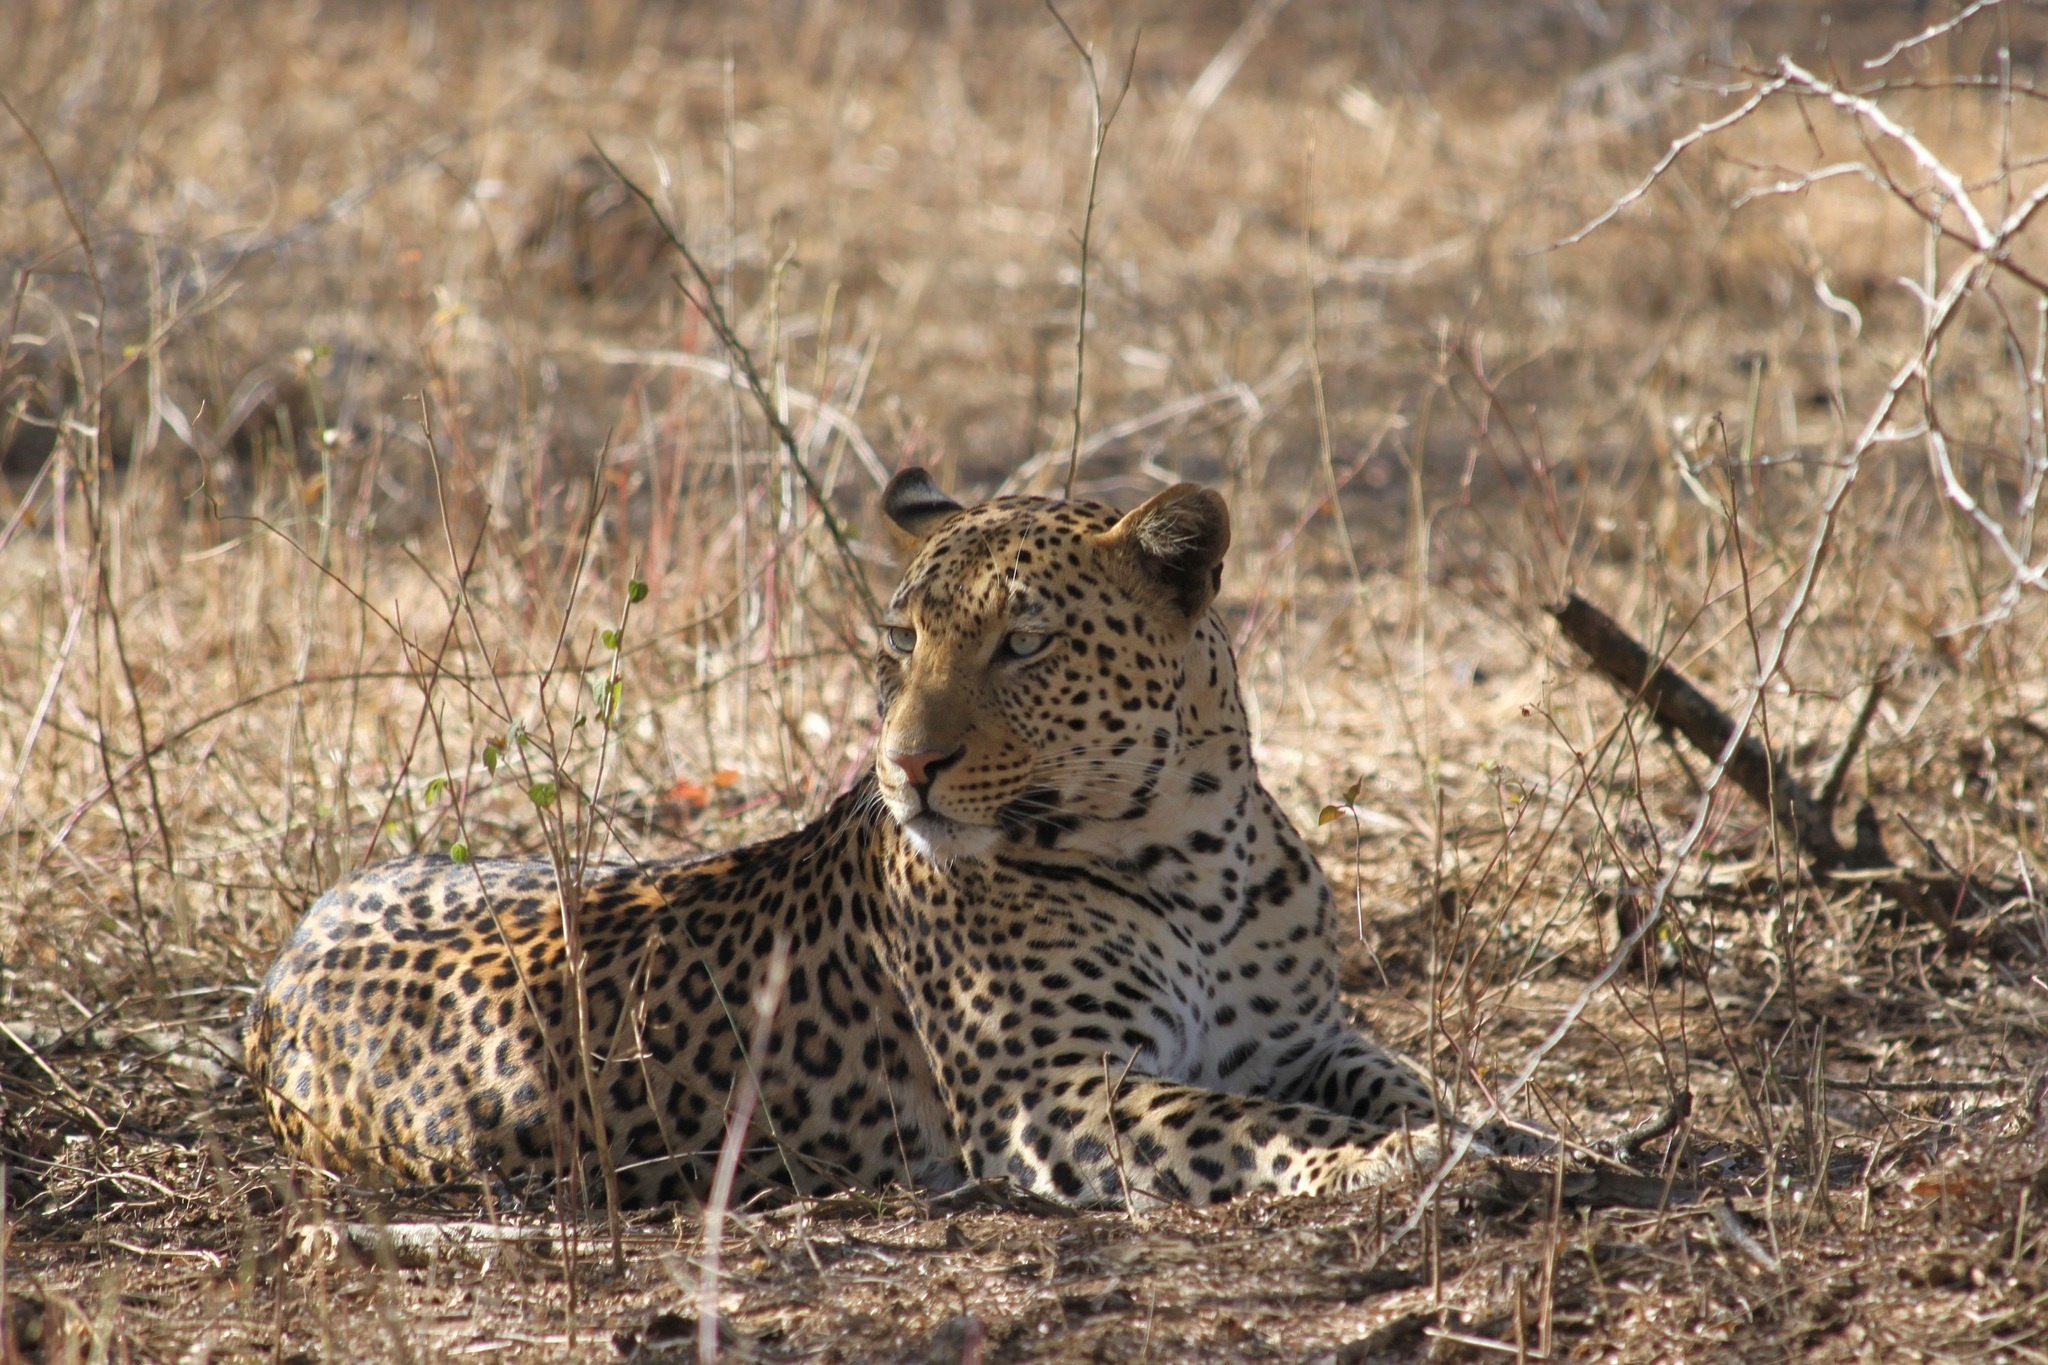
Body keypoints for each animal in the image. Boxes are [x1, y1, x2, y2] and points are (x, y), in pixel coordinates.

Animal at [245, 470, 1533, 1209]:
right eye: (900, 637)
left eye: (1025, 643)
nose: (905, 766)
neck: (1195, 852)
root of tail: (286, 955)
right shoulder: (1048, 1094)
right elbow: (1246, 1124)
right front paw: (1388, 1162)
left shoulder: (1301, 1037)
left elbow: (1402, 1078)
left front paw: (1502, 1128)